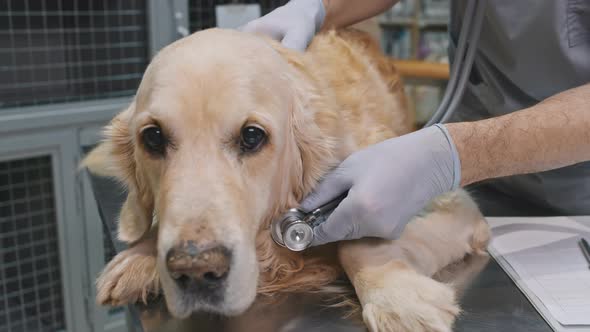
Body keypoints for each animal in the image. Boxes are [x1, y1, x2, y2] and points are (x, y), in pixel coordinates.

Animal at [83, 29, 490, 332]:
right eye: (152, 138)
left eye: (252, 136)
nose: (196, 270)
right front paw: (139, 255)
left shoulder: (441, 198)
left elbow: (355, 245)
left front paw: (398, 296)